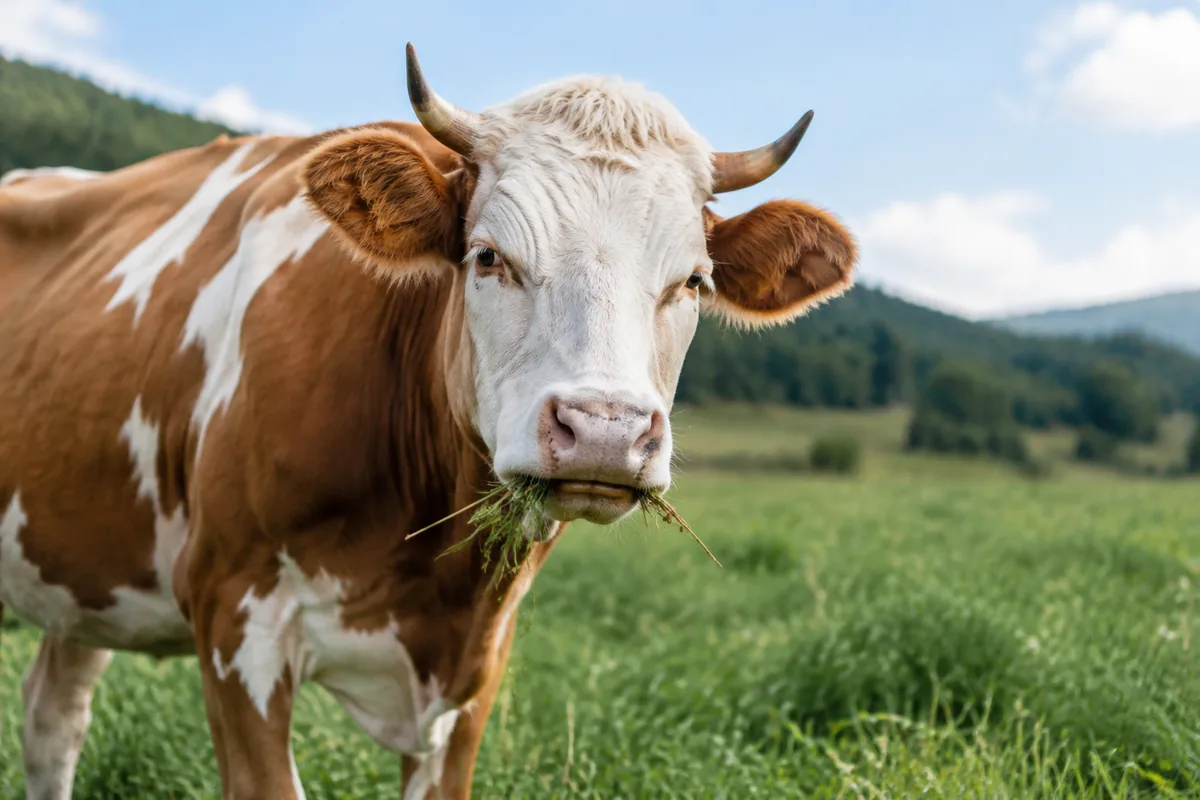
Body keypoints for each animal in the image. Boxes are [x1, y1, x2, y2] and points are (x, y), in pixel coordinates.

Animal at [0, 44, 857, 799]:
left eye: (692, 281)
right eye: (488, 257)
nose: (605, 431)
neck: (435, 573)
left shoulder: (478, 666)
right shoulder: (233, 618)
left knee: (52, 716)